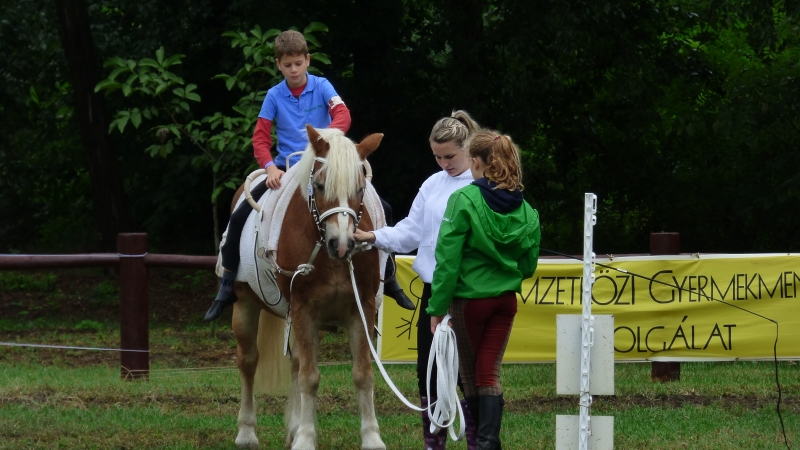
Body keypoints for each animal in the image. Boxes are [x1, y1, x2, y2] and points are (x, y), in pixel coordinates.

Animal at [230, 124, 386, 450]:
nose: (342, 244)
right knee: (248, 362)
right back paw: (247, 432)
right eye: (321, 185)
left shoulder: (361, 310)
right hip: (245, 304)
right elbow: (310, 378)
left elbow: (363, 374)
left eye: (360, 189)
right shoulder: (303, 309)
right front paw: (305, 439)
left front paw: (372, 438)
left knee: (296, 363)